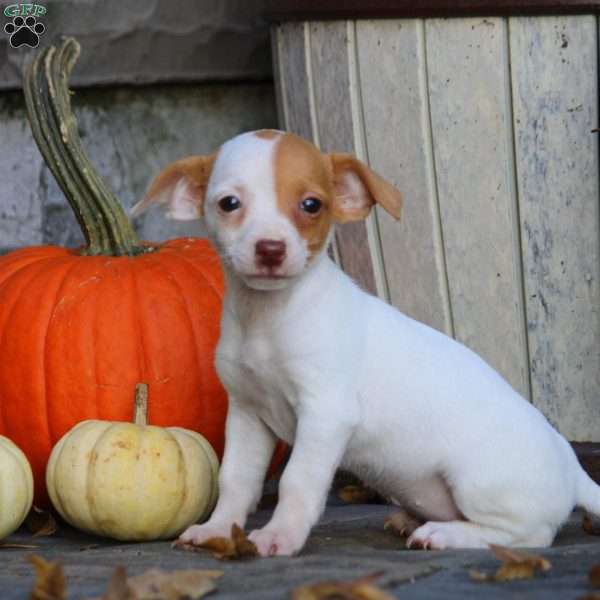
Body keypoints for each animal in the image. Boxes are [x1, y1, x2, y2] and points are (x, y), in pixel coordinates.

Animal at [134, 129, 600, 556]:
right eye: (229, 203)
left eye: (311, 205)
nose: (270, 248)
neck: (267, 319)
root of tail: (571, 465)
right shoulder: (248, 414)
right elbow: (236, 479)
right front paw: (218, 529)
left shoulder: (325, 414)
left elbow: (296, 480)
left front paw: (279, 536)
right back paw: (413, 519)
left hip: (480, 482)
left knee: (529, 536)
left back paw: (446, 534)